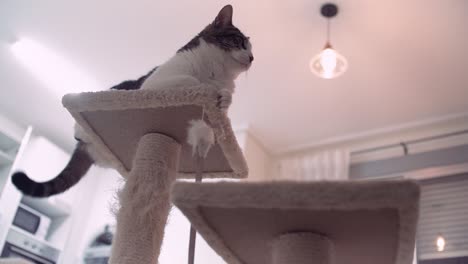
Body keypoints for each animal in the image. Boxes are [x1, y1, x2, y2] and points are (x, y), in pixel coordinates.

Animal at [11, 4, 252, 197]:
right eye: (239, 42)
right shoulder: (154, 84)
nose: (252, 58)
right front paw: (208, 87)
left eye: (252, 49)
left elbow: (222, 103)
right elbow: (191, 80)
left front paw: (223, 98)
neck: (216, 73)